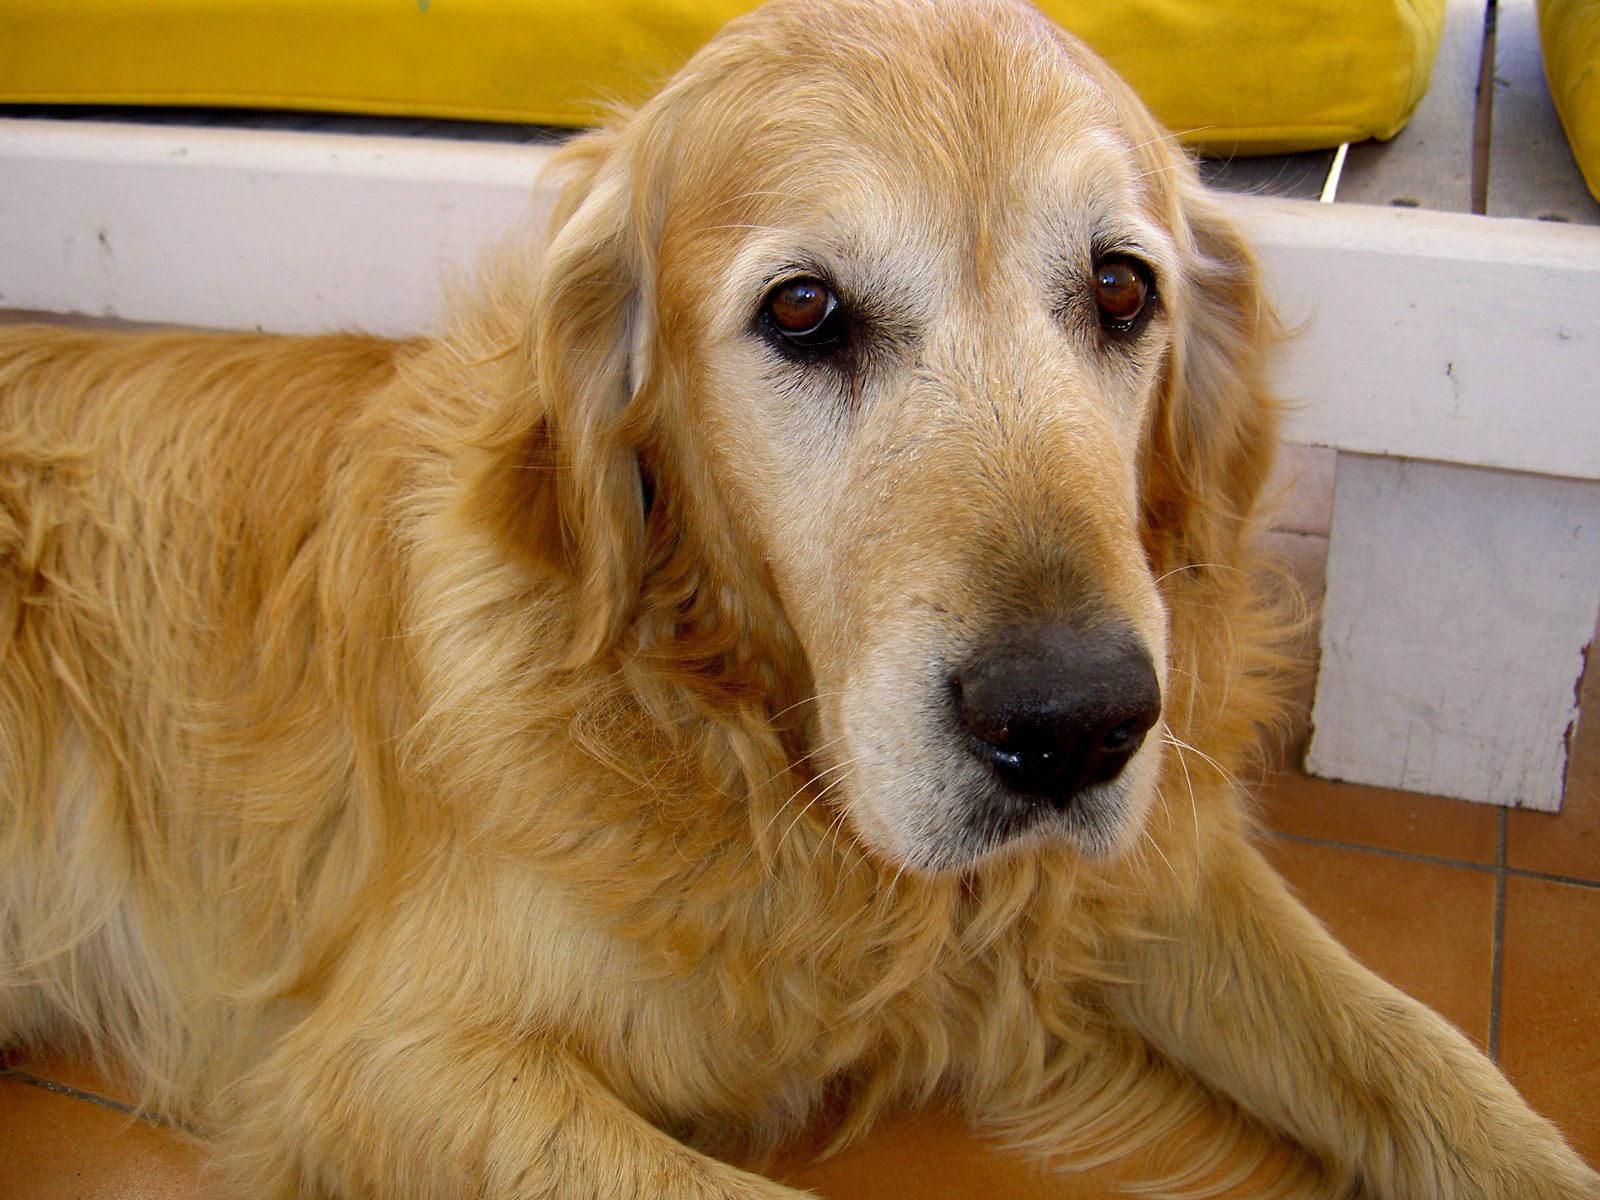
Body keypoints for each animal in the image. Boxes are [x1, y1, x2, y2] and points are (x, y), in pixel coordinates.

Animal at [3, 0, 1600, 1196]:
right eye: (804, 310)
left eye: (1122, 290)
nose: (1075, 727)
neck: (740, 736)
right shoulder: (387, 1064)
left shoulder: (1145, 871)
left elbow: (1415, 1050)